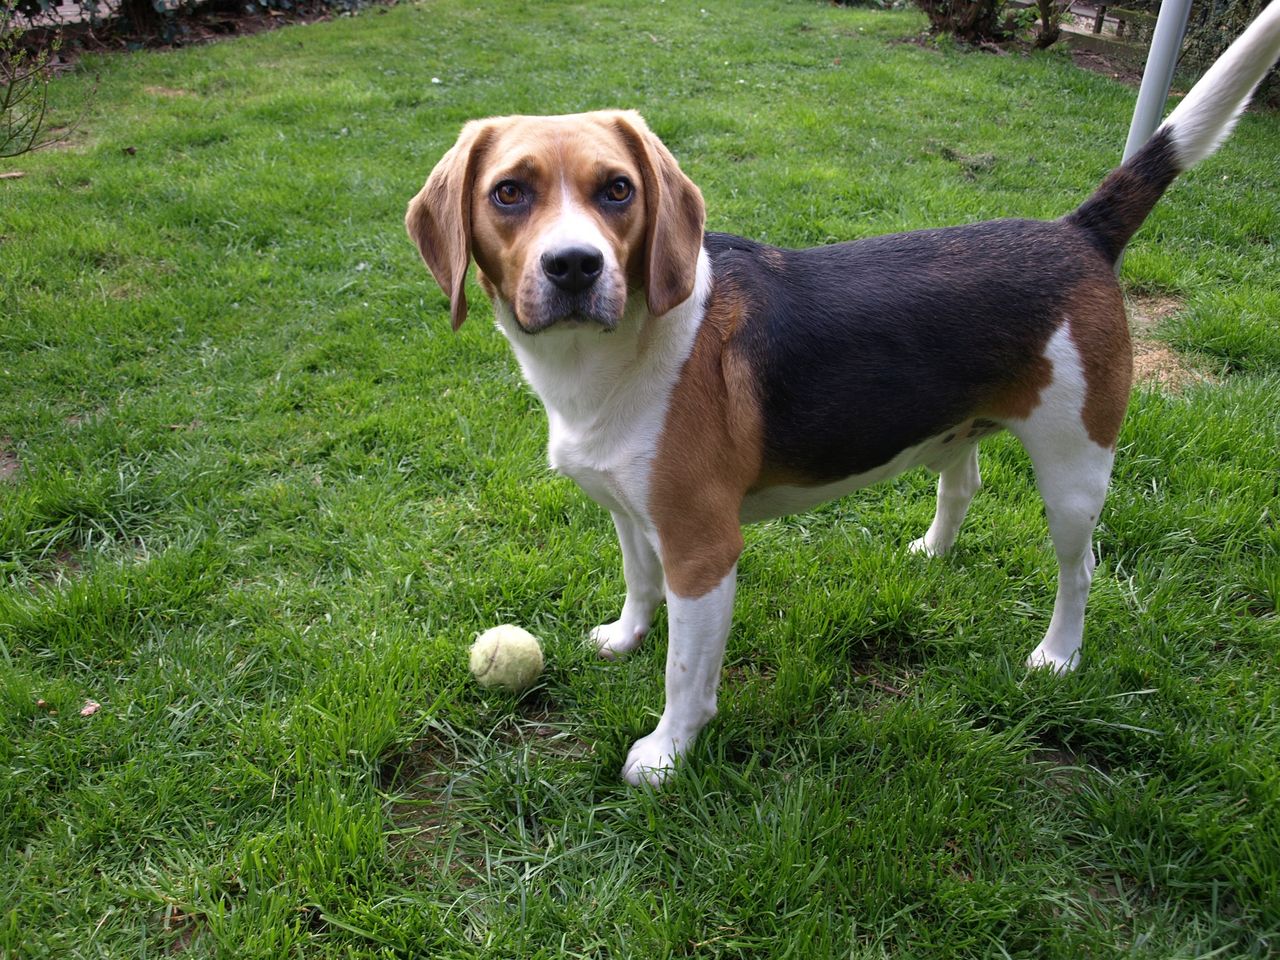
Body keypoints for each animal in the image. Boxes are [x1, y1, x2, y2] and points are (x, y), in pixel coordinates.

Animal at [404, 7, 1280, 783]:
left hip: (1075, 468)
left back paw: (1058, 656)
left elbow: (686, 673)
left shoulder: (703, 550)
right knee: (962, 482)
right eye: (509, 194)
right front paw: (626, 637)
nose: (575, 266)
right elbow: (637, 583)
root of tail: (1078, 232)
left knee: (1081, 566)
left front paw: (667, 754)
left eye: (618, 191)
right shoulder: (630, 512)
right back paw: (933, 552)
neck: (611, 357)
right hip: (961, 430)